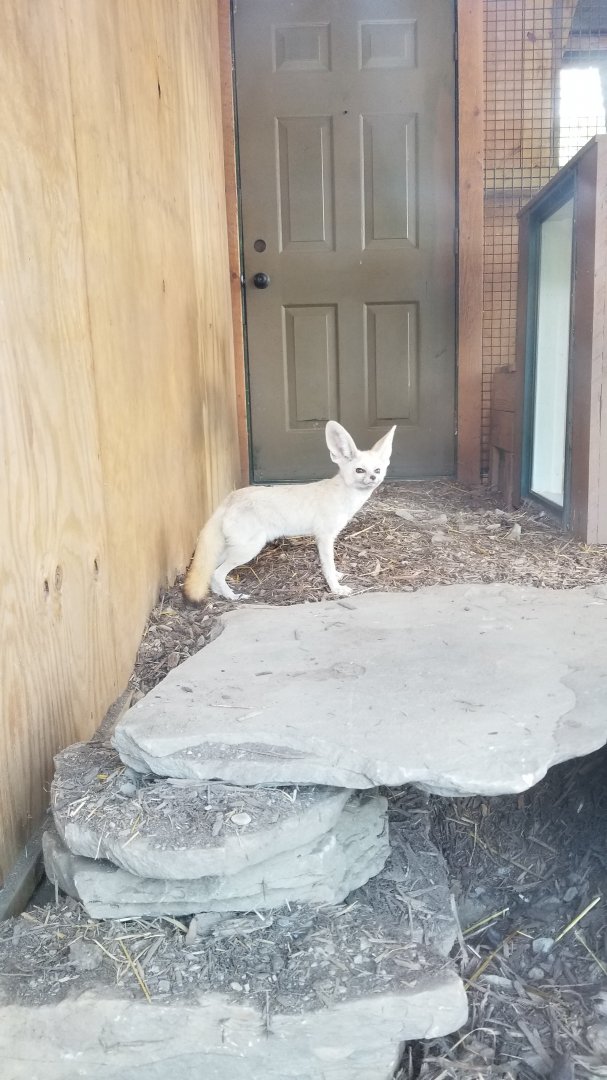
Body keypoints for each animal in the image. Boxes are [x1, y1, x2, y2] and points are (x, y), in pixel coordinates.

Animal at [183, 420, 396, 602]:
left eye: (377, 470)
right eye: (360, 470)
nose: (373, 478)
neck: (342, 494)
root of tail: (230, 498)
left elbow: (332, 566)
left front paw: (337, 577)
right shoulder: (324, 537)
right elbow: (328, 565)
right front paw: (336, 588)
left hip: (232, 548)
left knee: (210, 573)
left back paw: (220, 595)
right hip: (249, 549)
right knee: (217, 573)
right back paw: (233, 597)